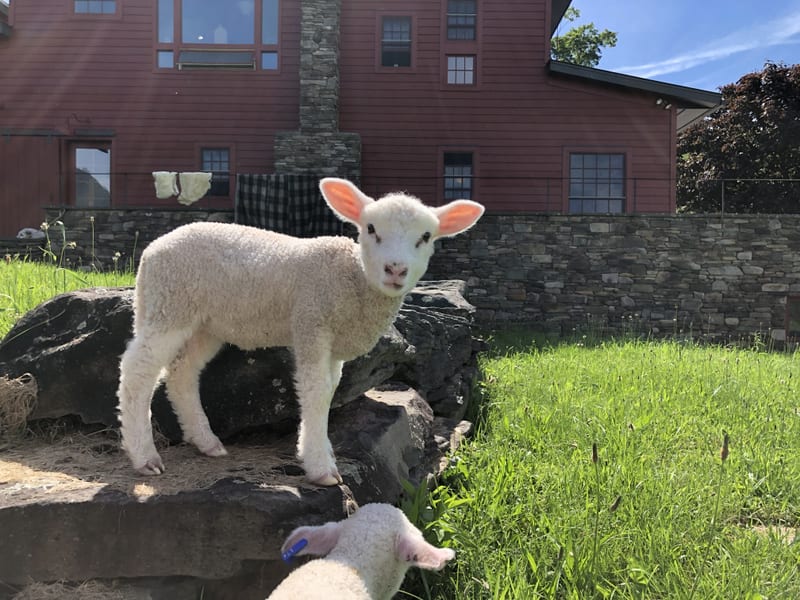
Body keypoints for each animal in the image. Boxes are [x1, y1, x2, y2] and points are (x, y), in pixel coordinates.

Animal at [117, 177, 484, 485]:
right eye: (370, 228)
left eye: (426, 237)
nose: (395, 269)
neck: (352, 278)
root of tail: (152, 250)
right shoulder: (311, 321)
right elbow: (316, 391)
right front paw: (321, 466)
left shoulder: (332, 342)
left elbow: (332, 389)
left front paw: (324, 448)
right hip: (168, 305)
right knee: (137, 371)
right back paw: (144, 457)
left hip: (205, 323)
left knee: (182, 371)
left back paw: (206, 442)